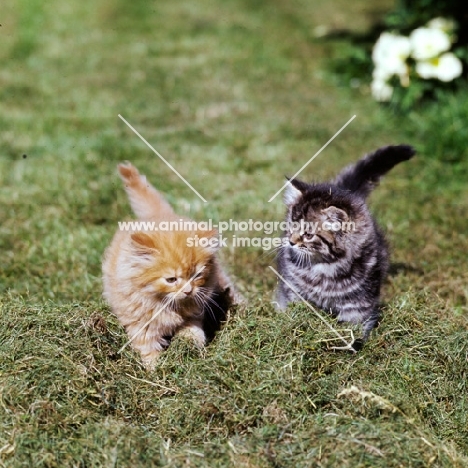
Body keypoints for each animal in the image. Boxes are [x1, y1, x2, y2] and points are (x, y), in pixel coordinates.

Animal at [102, 163, 234, 368]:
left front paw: (190, 349)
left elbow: (193, 333)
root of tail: (158, 215)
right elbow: (148, 350)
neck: (166, 305)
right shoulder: (141, 325)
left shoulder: (194, 315)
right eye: (171, 279)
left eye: (196, 276)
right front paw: (157, 370)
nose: (188, 291)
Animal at [276, 145, 414, 348]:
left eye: (308, 234)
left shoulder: (359, 304)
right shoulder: (293, 290)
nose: (291, 242)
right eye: (291, 227)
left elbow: (354, 327)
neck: (326, 268)